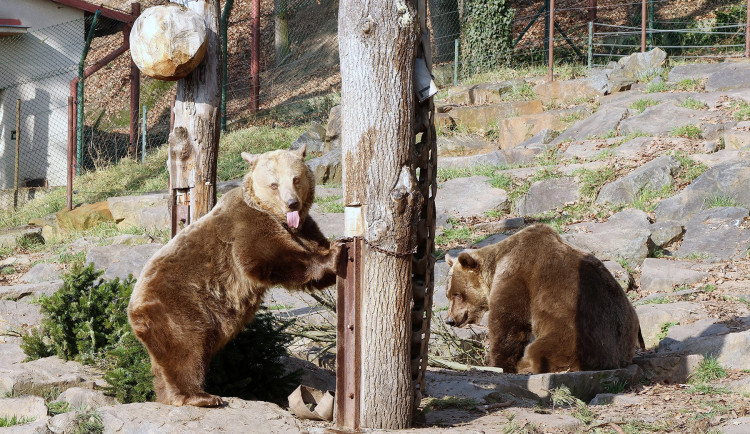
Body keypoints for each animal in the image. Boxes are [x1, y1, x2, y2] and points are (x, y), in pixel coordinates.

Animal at [128, 146, 342, 406]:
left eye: (296, 179)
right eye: (274, 184)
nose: (292, 203)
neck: (278, 218)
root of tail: (134, 313)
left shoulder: (305, 229)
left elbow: (314, 247)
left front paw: (339, 245)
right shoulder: (247, 226)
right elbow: (269, 259)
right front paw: (335, 254)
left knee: (164, 364)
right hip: (178, 307)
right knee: (186, 348)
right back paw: (200, 396)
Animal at [446, 224, 648, 372]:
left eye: (457, 294)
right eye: (448, 295)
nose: (450, 320)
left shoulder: (517, 271)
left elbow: (509, 322)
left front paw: (498, 363)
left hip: (576, 337)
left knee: (541, 350)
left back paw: (526, 365)